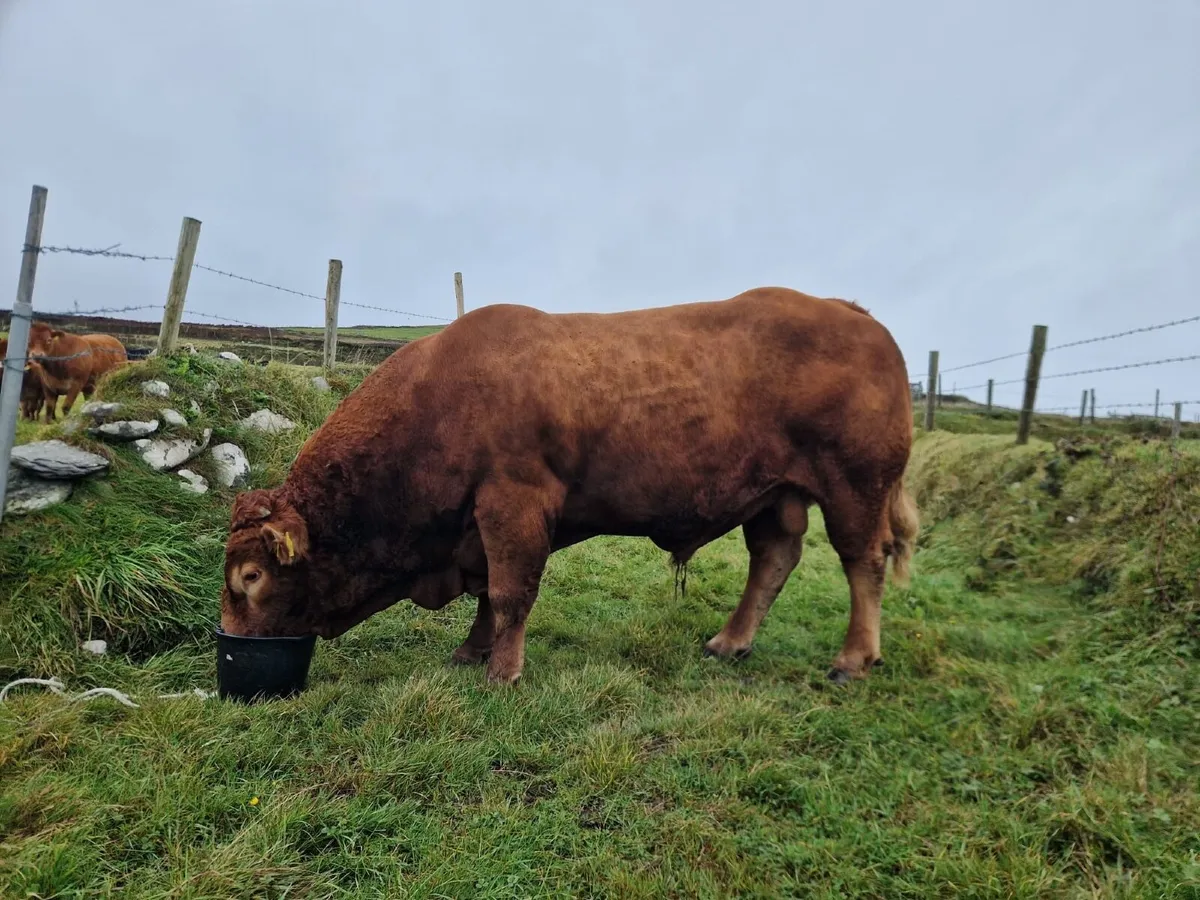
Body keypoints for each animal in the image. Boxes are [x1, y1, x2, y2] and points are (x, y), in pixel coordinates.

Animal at [221, 287, 919, 686]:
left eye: (250, 576)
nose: (230, 640)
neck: (439, 397)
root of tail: (852, 314)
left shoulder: (513, 504)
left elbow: (510, 592)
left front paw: (502, 673)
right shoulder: (480, 525)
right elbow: (487, 593)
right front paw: (471, 652)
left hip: (855, 485)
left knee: (863, 561)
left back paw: (852, 660)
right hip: (774, 497)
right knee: (773, 560)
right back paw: (729, 643)